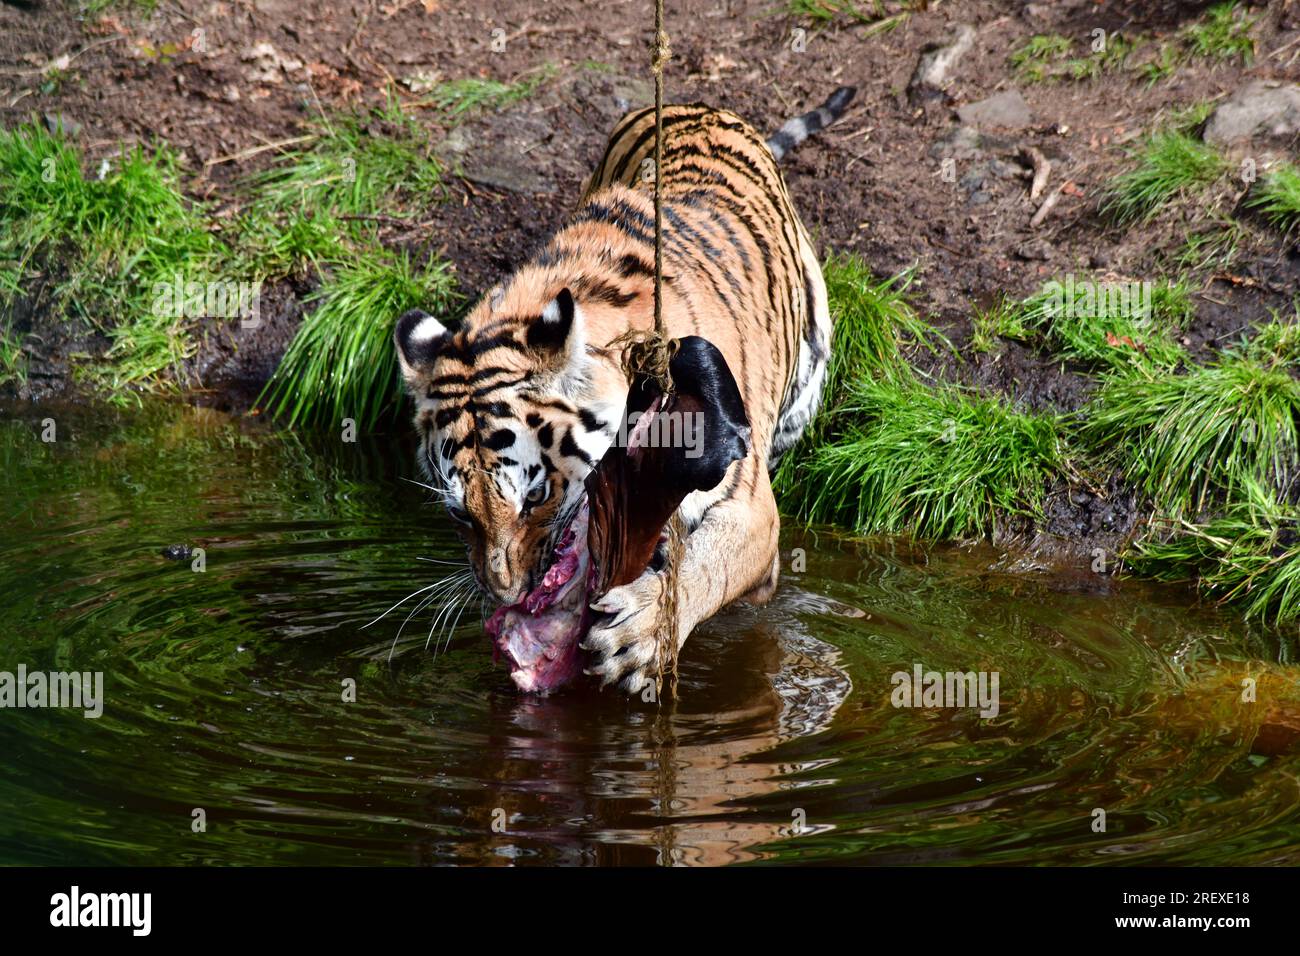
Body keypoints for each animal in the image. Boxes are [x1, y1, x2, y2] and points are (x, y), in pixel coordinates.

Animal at [390, 83, 857, 697]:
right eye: (460, 515)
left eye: (535, 497)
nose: (508, 595)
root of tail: (703, 106)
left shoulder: (750, 507)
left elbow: (710, 563)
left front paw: (642, 631)